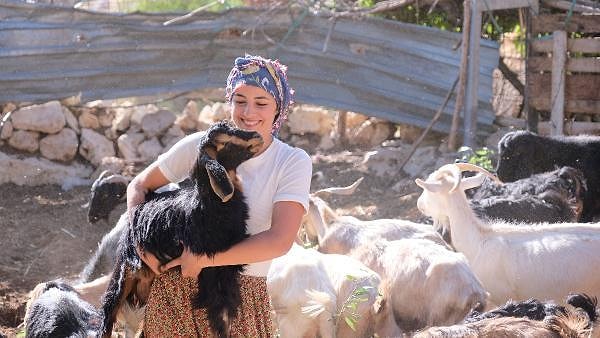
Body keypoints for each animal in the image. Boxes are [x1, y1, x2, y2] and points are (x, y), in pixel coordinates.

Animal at [99, 121, 262, 338]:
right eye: (224, 142)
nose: (257, 135)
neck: (209, 206)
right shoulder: (210, 270)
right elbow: (220, 318)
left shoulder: (227, 269)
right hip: (124, 274)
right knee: (108, 314)